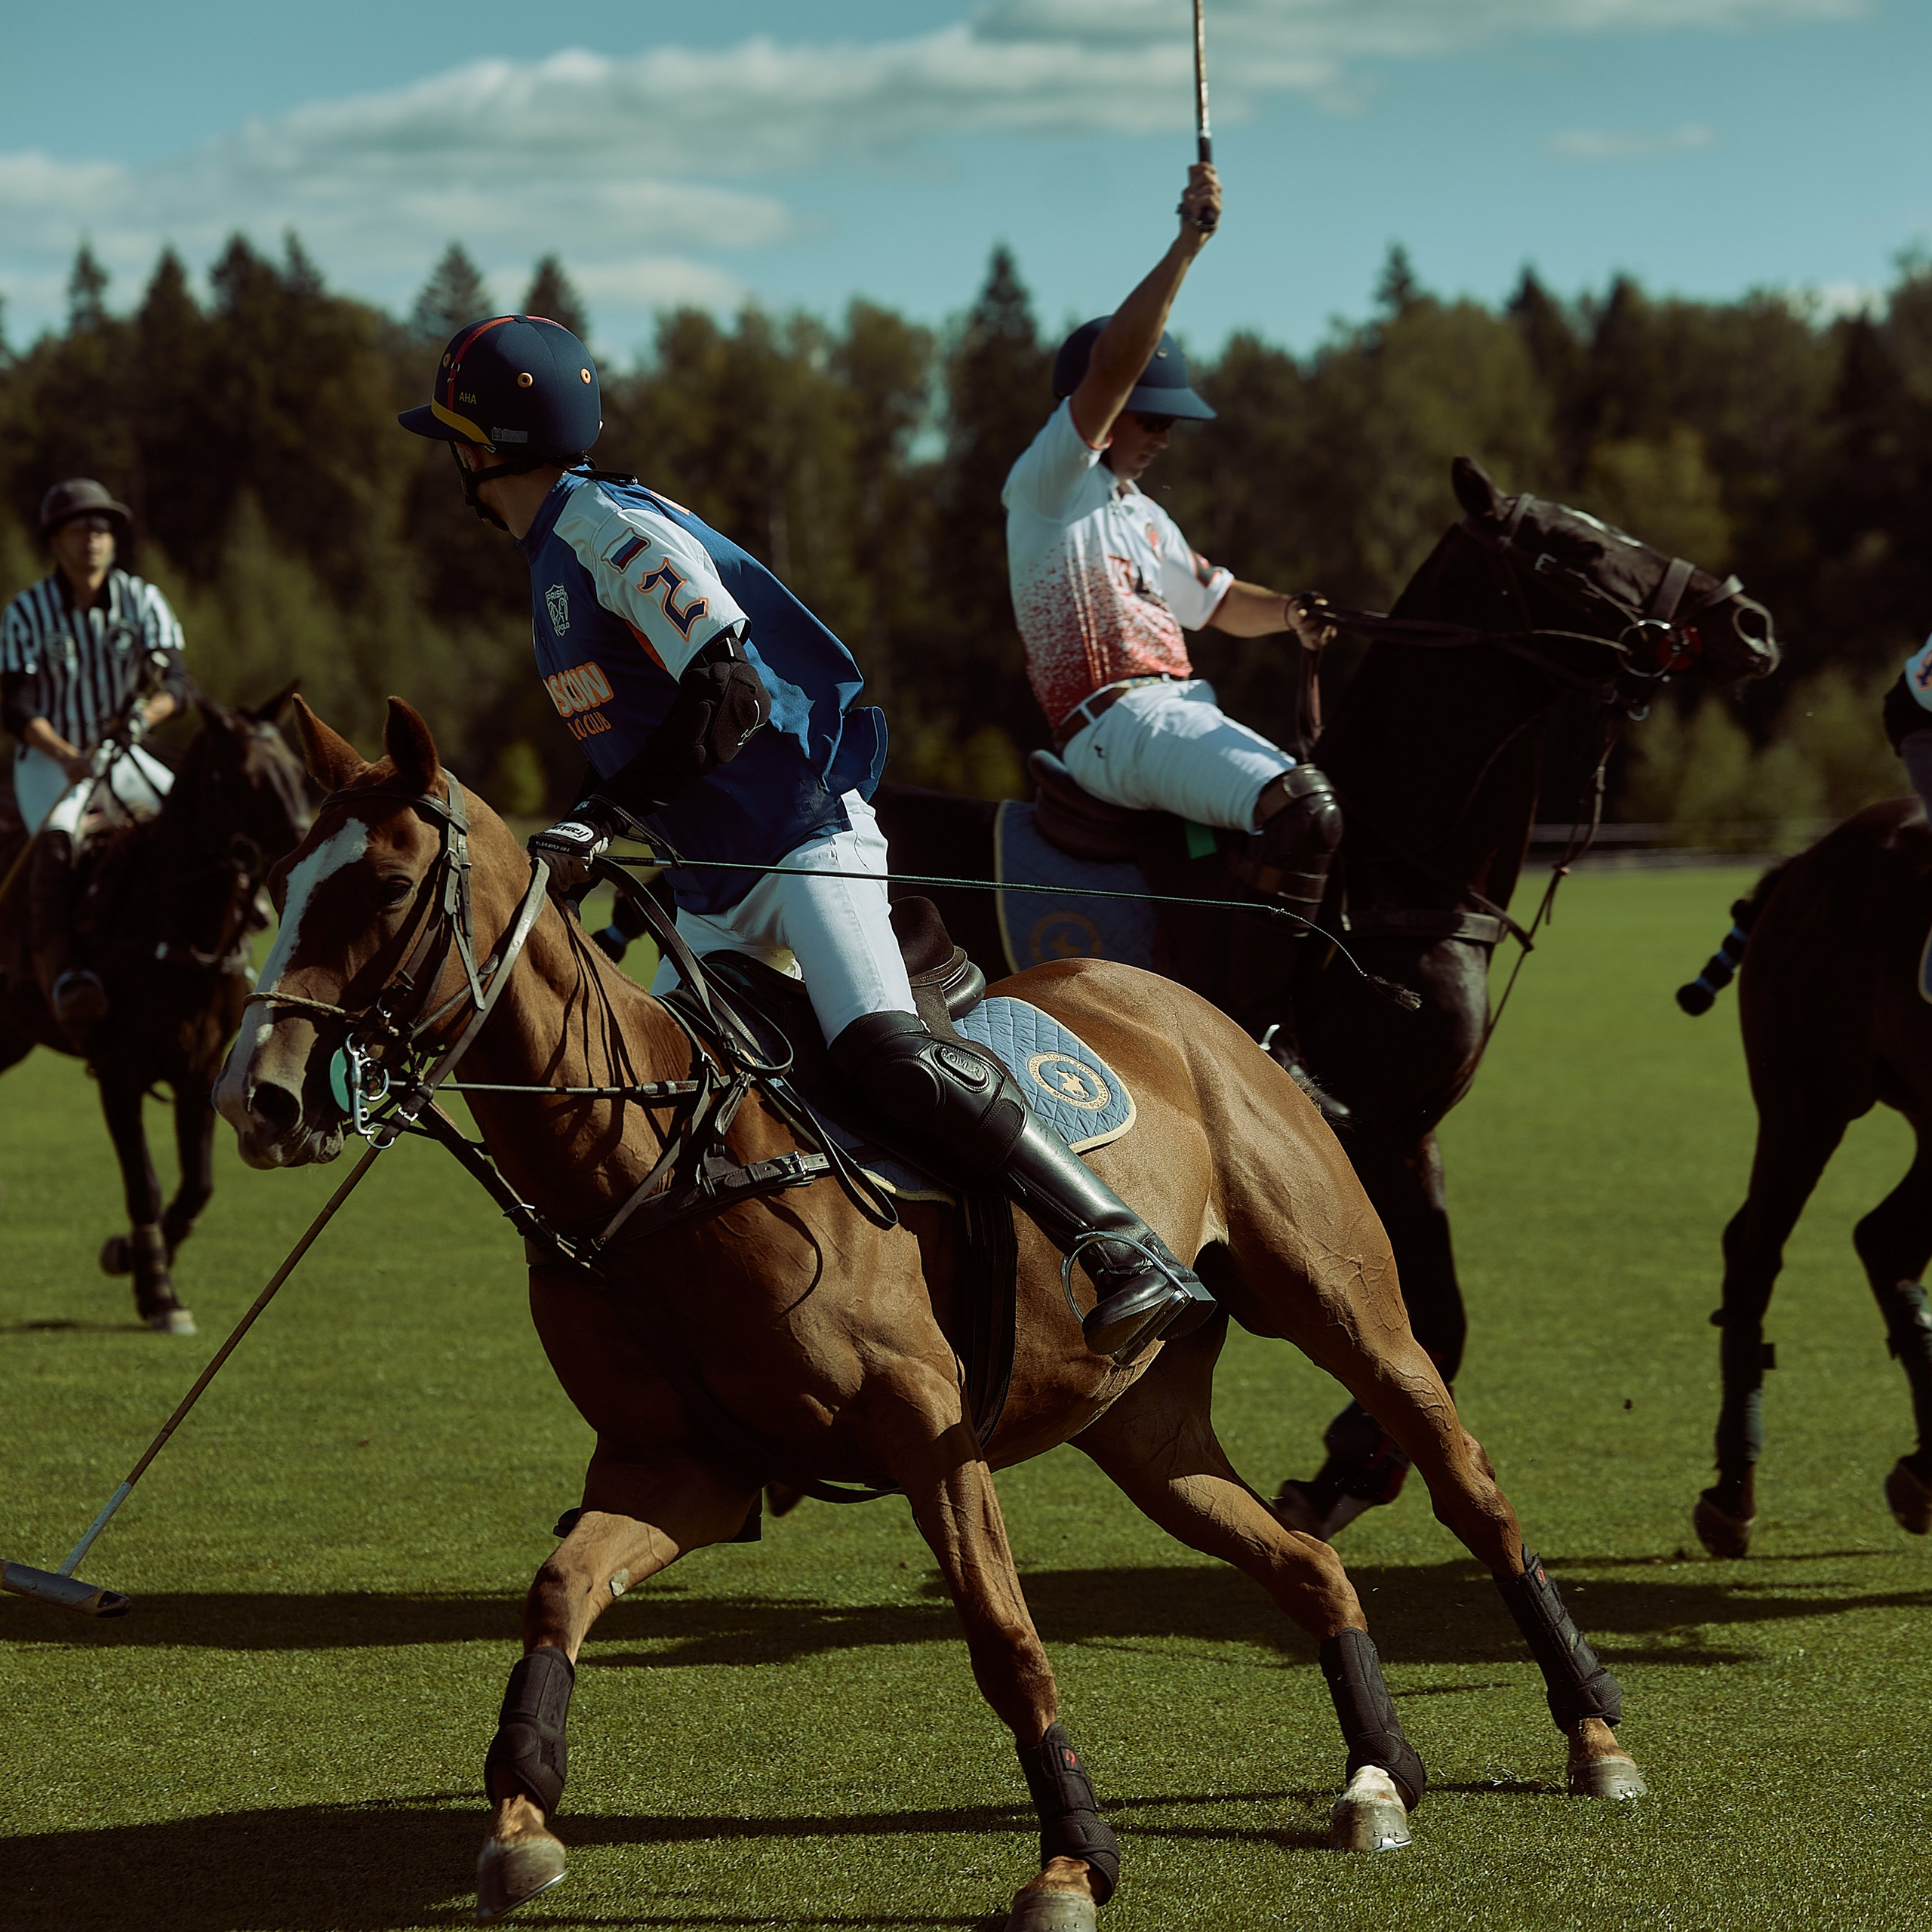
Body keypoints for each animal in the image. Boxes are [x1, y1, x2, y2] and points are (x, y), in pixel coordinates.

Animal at [0, 686, 309, 1331]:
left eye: (297, 773)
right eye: (236, 779)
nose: (294, 865)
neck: (177, 924)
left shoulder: (201, 1068)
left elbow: (199, 1185)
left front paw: (132, 1258)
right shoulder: (118, 1071)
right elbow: (143, 1182)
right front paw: (159, 1290)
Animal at [215, 694, 1646, 1932]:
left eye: (382, 885)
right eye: (279, 878)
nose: (257, 1094)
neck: (655, 1163)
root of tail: (1211, 1012)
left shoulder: (926, 1432)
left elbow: (1005, 1641)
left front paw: (1071, 1863)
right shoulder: (682, 1464)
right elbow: (560, 1588)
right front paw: (519, 1820)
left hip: (1348, 1308)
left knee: (1473, 1491)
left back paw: (1595, 1732)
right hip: (1141, 1423)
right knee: (1307, 1560)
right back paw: (1376, 1777)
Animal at [874, 455, 1780, 1537]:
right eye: (1574, 545)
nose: (1750, 621)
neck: (1397, 875)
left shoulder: (1412, 1131)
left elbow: (1439, 1315)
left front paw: (1356, 1458)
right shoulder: (1375, 1130)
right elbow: (1431, 1317)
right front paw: (1348, 1466)